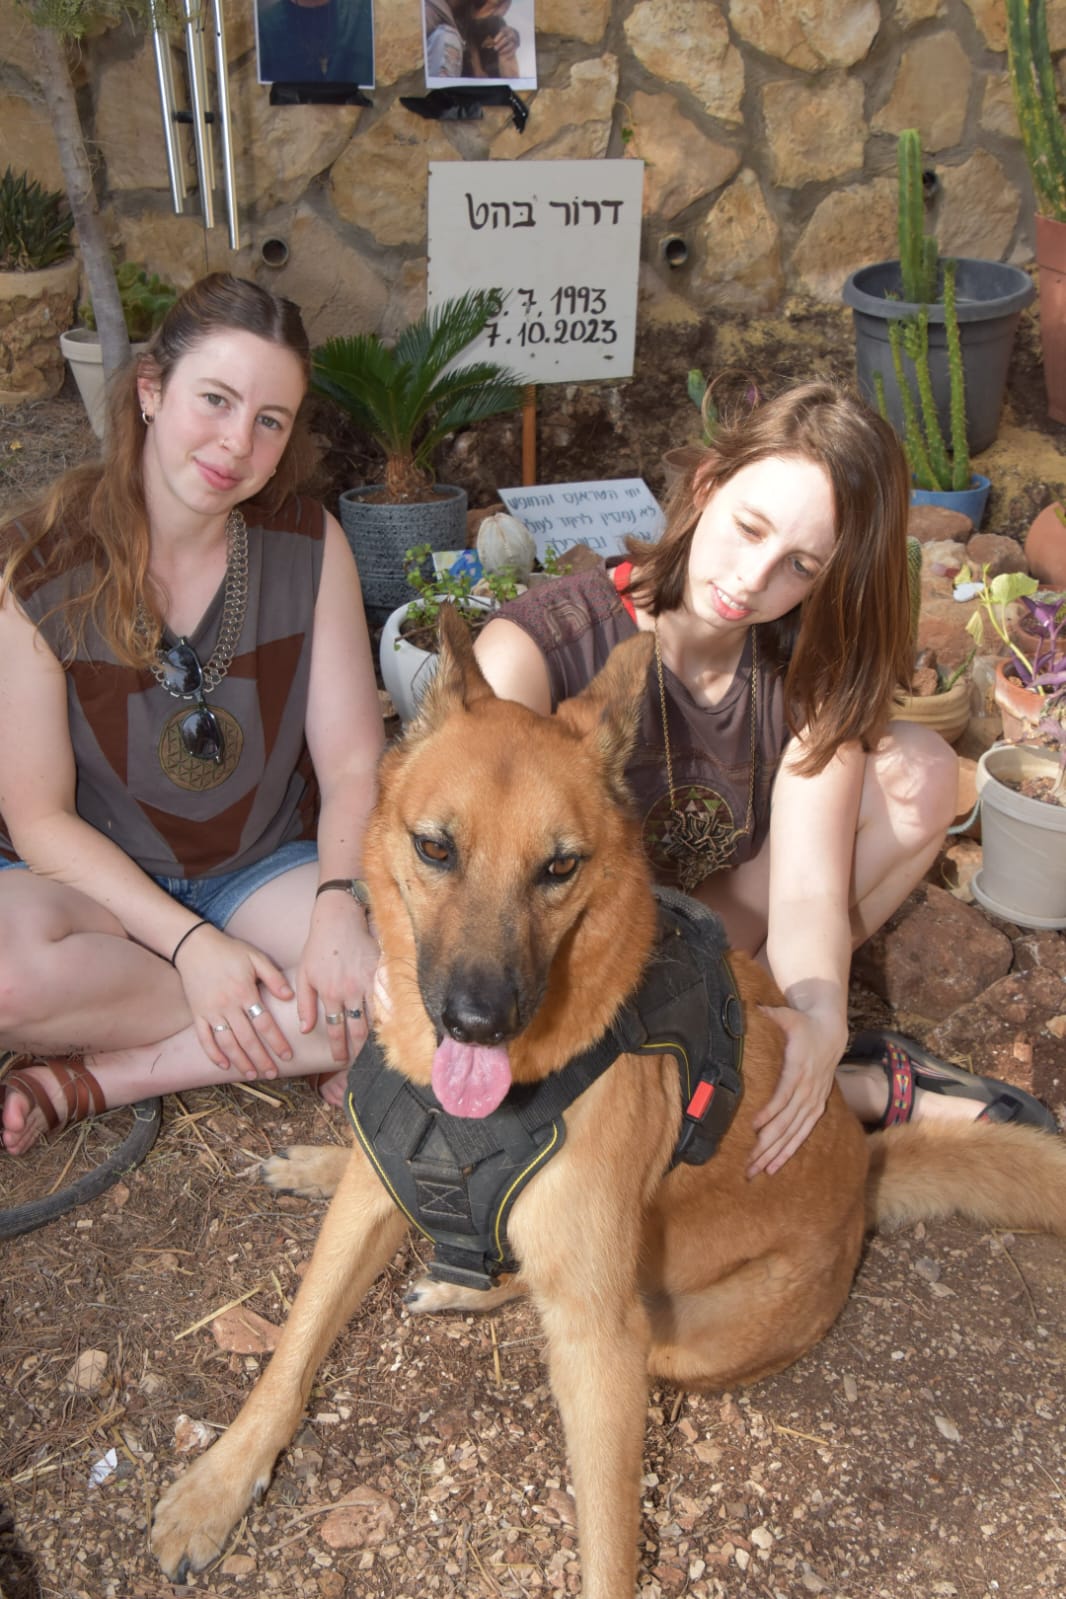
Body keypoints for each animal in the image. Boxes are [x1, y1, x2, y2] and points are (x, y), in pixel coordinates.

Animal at [152, 608, 1066, 1596]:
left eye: (559, 867)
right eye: (435, 848)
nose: (477, 1021)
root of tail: (864, 1174)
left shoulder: (601, 1342)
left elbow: (608, 1539)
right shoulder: (370, 1200)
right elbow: (292, 1347)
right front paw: (219, 1484)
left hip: (661, 1338)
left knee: (553, 1294)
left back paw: (465, 1285)